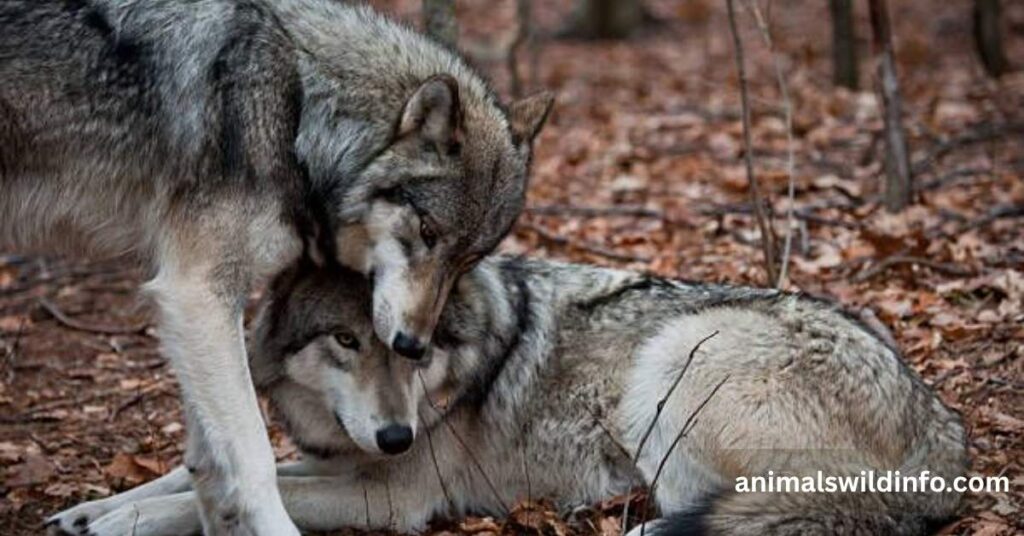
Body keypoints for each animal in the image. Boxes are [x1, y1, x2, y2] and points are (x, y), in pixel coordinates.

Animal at [2, 0, 552, 532]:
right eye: (427, 233)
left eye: (469, 259)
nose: (413, 345)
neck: (296, 110)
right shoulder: (196, 291)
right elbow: (254, 458)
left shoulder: (199, 305)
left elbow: (207, 462)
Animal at [48, 256, 968, 535]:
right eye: (347, 341)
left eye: (411, 345)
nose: (396, 436)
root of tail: (947, 431)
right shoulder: (346, 460)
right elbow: (205, 473)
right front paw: (93, 508)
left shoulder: (396, 497)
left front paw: (120, 522)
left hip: (673, 364)